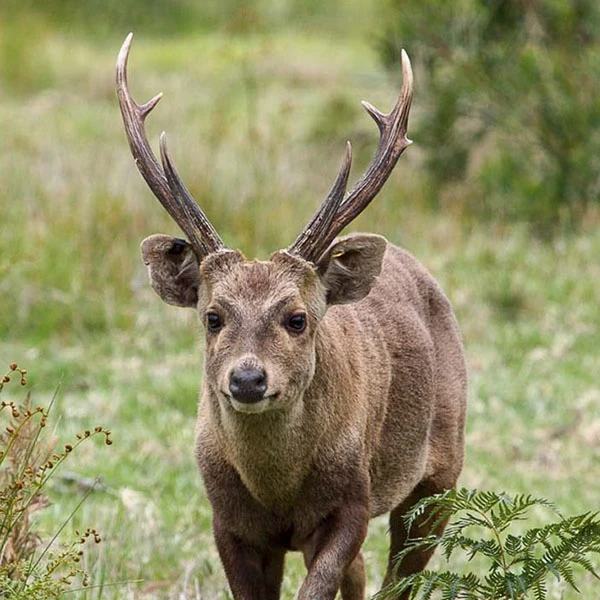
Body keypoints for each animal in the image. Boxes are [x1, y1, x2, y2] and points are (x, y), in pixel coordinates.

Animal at [115, 34, 466, 600]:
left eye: (297, 318)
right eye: (212, 316)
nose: (248, 379)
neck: (277, 490)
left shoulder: (352, 500)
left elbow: (320, 586)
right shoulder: (227, 519)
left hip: (441, 471)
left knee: (400, 578)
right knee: (362, 574)